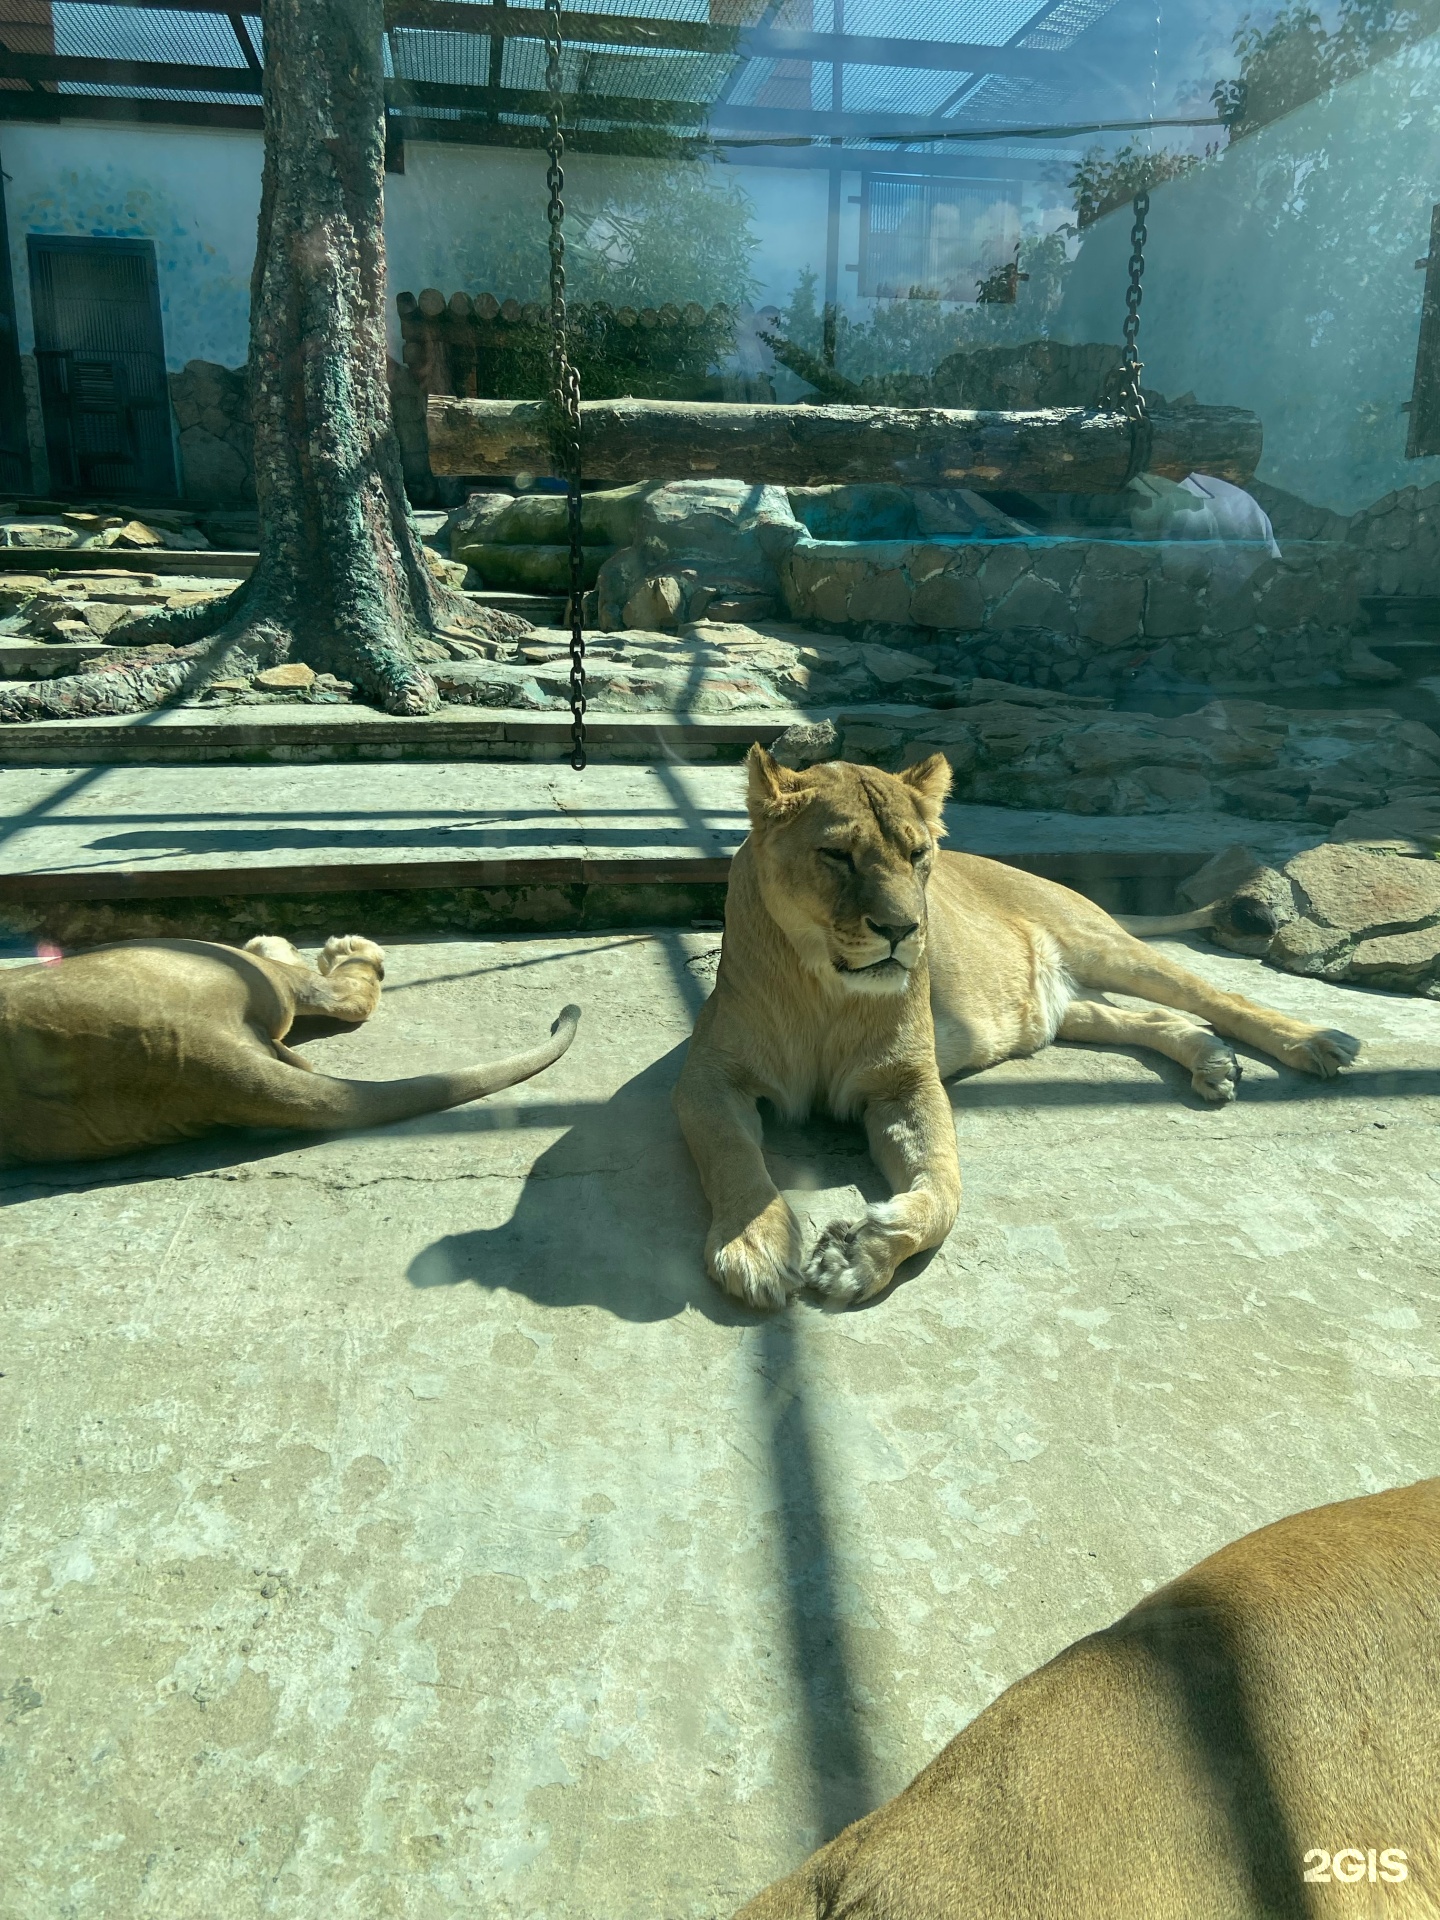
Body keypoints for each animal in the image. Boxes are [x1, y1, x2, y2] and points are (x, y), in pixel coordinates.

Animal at [675, 741, 1367, 1313]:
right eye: (837, 855)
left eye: (918, 854)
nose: (904, 930)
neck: (827, 989)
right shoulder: (706, 1077)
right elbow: (732, 1155)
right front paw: (756, 1245)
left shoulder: (906, 1082)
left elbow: (945, 1187)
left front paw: (860, 1253)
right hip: (1059, 1007)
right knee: (1149, 1017)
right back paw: (1212, 1060)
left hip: (1104, 947)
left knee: (1214, 994)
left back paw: (1316, 1042)